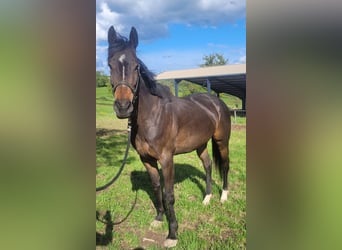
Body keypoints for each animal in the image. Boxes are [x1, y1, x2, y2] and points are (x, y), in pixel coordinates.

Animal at [107, 25, 230, 248]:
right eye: (109, 65)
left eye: (136, 66)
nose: (123, 107)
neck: (152, 116)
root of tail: (216, 101)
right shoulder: (146, 159)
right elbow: (157, 189)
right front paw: (158, 219)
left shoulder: (166, 159)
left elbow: (169, 195)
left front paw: (172, 234)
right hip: (200, 144)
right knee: (208, 165)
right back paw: (207, 198)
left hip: (221, 140)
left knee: (224, 165)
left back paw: (223, 196)